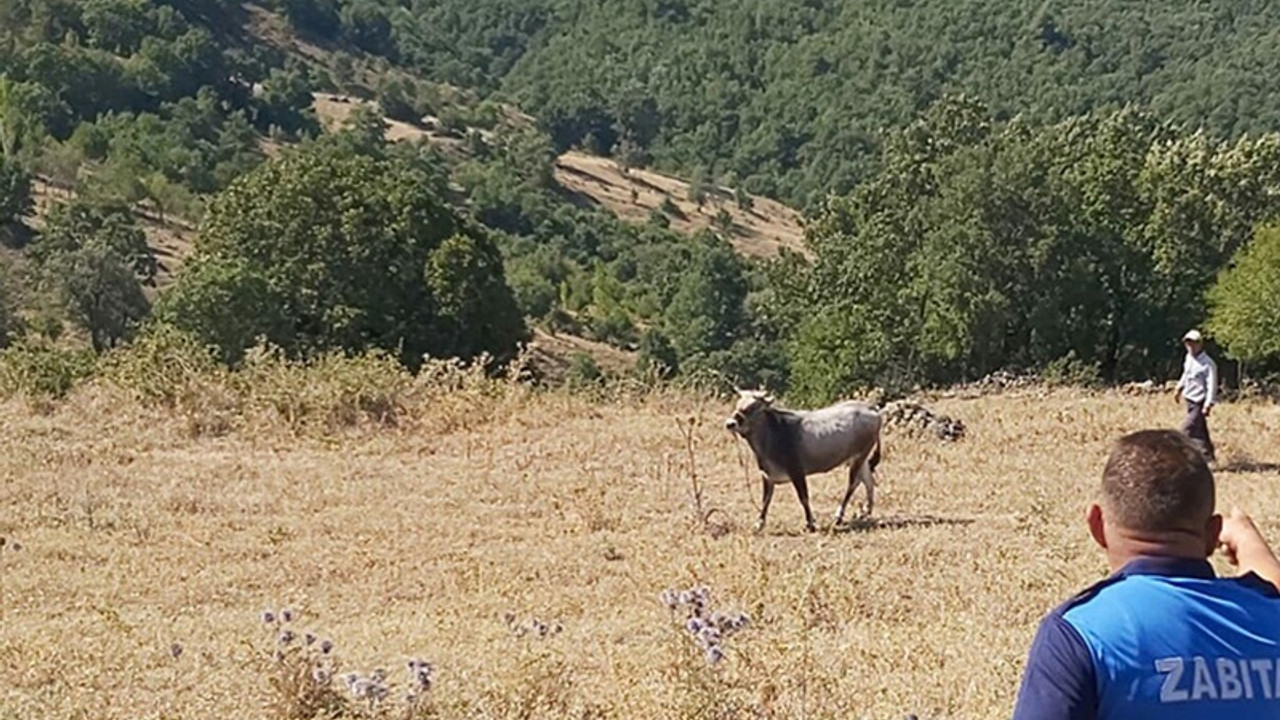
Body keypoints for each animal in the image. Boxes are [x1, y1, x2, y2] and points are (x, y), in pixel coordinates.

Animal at [727, 389, 885, 530]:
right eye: (738, 404)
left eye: (753, 407)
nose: (730, 423)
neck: (774, 434)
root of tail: (870, 407)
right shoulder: (767, 474)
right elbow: (766, 499)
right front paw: (759, 523)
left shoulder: (797, 471)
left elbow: (803, 497)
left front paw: (810, 523)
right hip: (860, 458)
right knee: (867, 480)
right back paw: (866, 511)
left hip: (859, 455)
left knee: (853, 483)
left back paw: (839, 516)